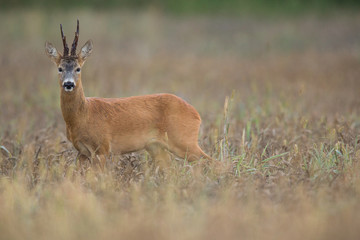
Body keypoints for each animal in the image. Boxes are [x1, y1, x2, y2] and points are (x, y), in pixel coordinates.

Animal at [44, 21, 211, 170]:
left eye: (78, 68)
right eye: (60, 68)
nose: (69, 84)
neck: (83, 115)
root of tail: (196, 114)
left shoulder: (102, 148)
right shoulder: (82, 152)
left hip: (184, 140)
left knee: (210, 161)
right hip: (156, 147)